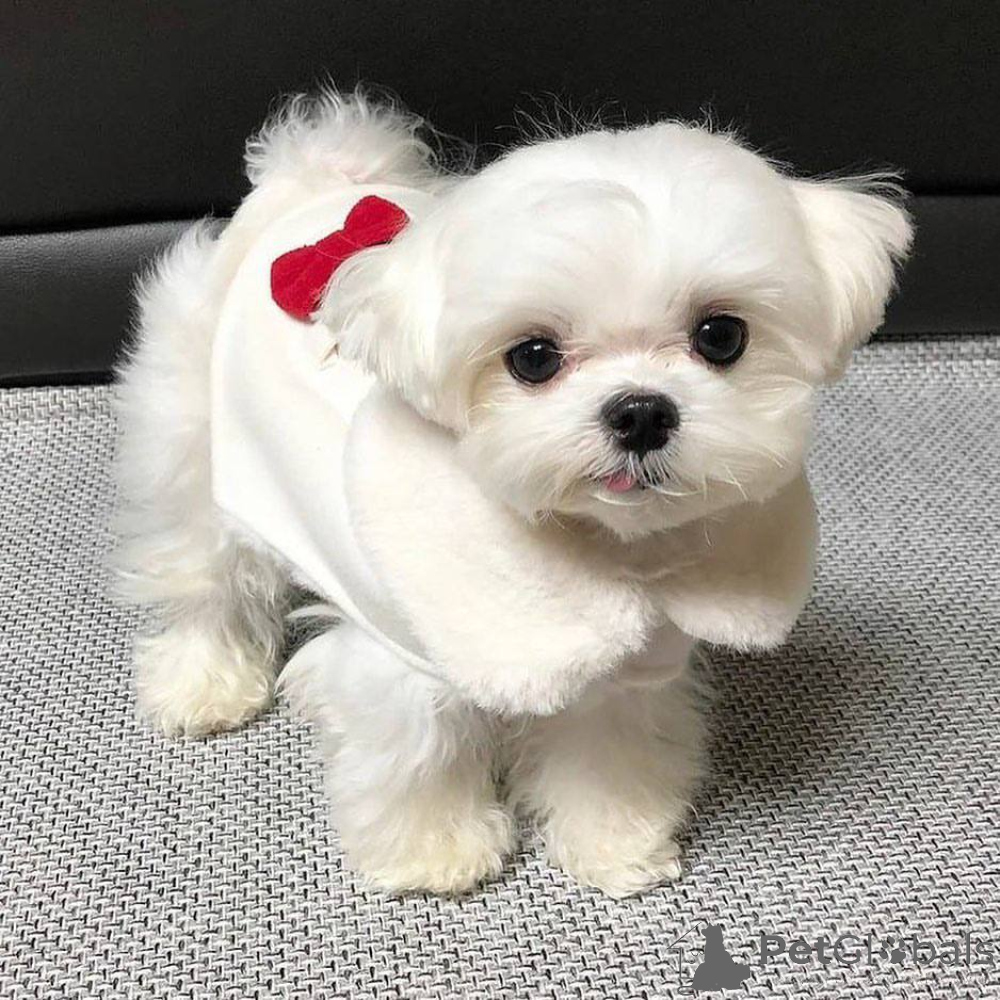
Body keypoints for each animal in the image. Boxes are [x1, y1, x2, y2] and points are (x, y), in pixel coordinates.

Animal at [114, 90, 912, 896]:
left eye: (721, 336)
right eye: (533, 357)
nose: (640, 412)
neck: (600, 550)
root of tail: (317, 182)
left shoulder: (626, 669)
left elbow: (606, 750)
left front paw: (612, 839)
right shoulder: (405, 658)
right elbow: (420, 750)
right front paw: (432, 850)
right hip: (195, 447)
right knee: (207, 580)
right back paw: (203, 682)